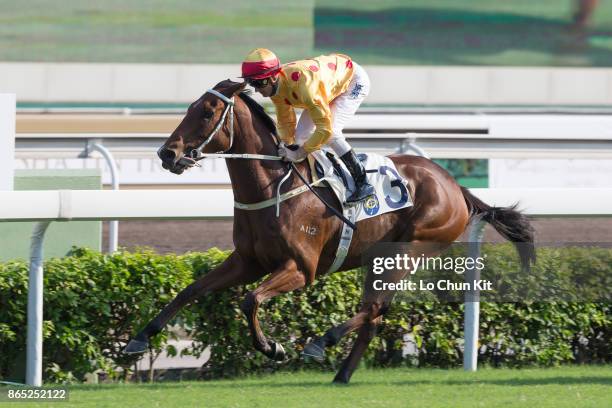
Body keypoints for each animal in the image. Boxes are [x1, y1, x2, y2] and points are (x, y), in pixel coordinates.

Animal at [125, 79, 536, 382]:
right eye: (190, 108)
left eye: (208, 111)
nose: (167, 154)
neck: (273, 186)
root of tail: (455, 185)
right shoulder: (247, 261)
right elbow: (191, 289)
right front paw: (139, 338)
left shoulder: (301, 268)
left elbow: (250, 300)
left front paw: (273, 347)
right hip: (382, 259)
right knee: (374, 317)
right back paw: (341, 375)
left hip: (408, 250)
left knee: (373, 309)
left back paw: (322, 342)